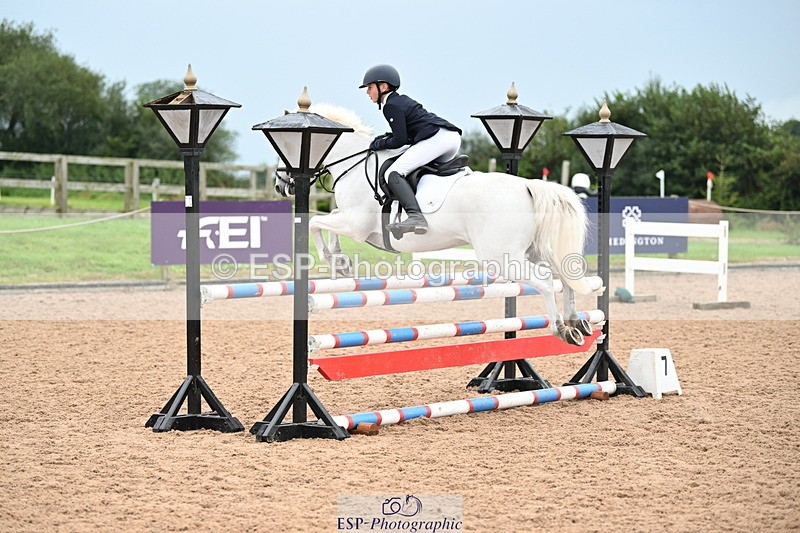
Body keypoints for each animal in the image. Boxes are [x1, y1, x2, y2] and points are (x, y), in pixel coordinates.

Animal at [274, 104, 601, 345]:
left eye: (282, 150)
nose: (281, 185)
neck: (352, 163)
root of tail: (528, 186)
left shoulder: (355, 223)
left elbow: (316, 223)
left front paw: (336, 261)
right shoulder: (354, 224)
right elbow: (325, 222)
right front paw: (341, 261)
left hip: (501, 258)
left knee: (545, 281)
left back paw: (562, 329)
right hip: (534, 250)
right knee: (565, 277)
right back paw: (576, 323)